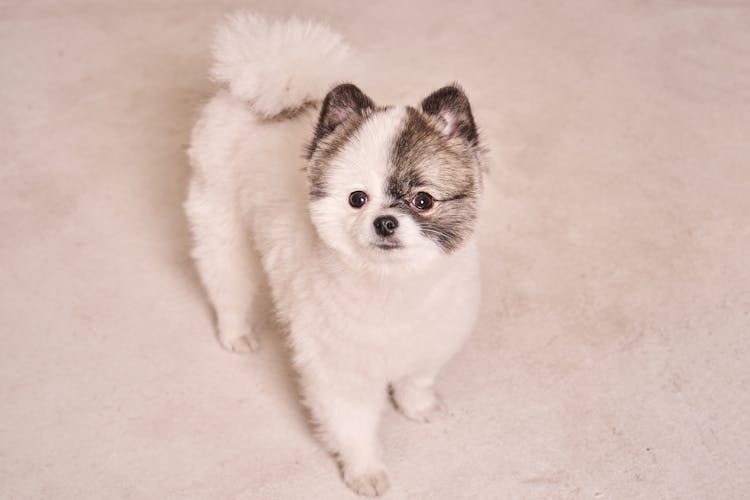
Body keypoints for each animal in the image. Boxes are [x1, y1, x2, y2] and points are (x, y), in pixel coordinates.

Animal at [187, 10, 488, 496]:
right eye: (357, 199)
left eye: (423, 200)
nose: (385, 222)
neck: (390, 287)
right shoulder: (339, 373)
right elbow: (353, 427)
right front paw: (365, 470)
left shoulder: (429, 342)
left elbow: (416, 381)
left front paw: (416, 406)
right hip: (221, 226)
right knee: (226, 283)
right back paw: (236, 332)